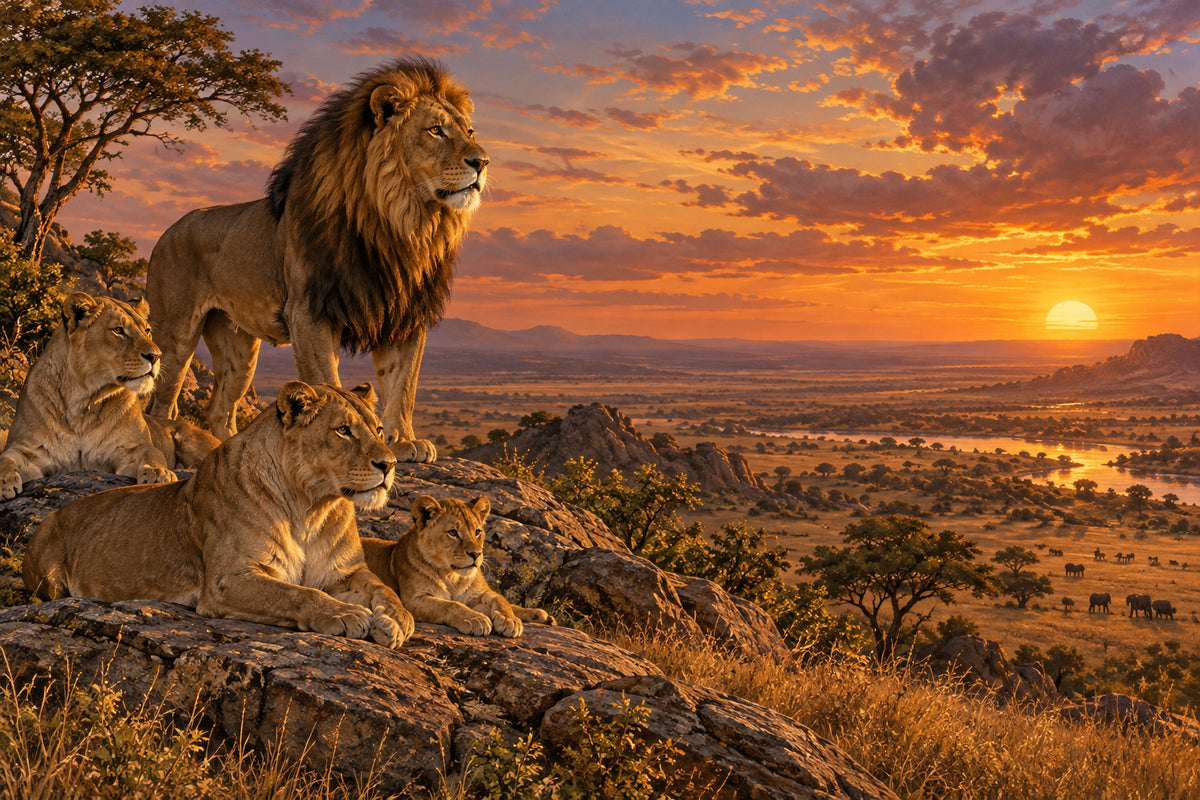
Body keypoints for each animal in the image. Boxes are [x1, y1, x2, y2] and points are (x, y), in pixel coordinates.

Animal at [0, 292, 206, 501]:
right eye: (118, 330)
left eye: (147, 331)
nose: (156, 356)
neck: (84, 401)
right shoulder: (30, 450)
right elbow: (6, 458)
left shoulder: (131, 449)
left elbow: (153, 454)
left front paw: (159, 474)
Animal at [23, 381, 415, 649]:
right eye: (343, 430)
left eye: (379, 430)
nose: (390, 464)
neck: (312, 507)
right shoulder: (227, 580)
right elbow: (296, 594)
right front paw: (343, 615)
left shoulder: (343, 574)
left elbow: (382, 589)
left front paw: (397, 620)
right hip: (49, 579)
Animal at [145, 57, 488, 463]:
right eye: (435, 130)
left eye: (469, 131)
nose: (483, 161)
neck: (399, 225)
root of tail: (167, 231)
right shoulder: (310, 311)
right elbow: (327, 382)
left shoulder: (404, 314)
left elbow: (403, 385)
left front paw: (404, 442)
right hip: (175, 335)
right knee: (162, 403)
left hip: (239, 350)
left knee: (219, 409)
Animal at [361, 494, 554, 638]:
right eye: (453, 533)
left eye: (477, 532)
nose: (476, 554)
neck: (453, 576)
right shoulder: (413, 600)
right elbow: (450, 605)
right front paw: (476, 619)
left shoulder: (480, 591)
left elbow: (501, 599)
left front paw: (510, 620)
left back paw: (541, 616)